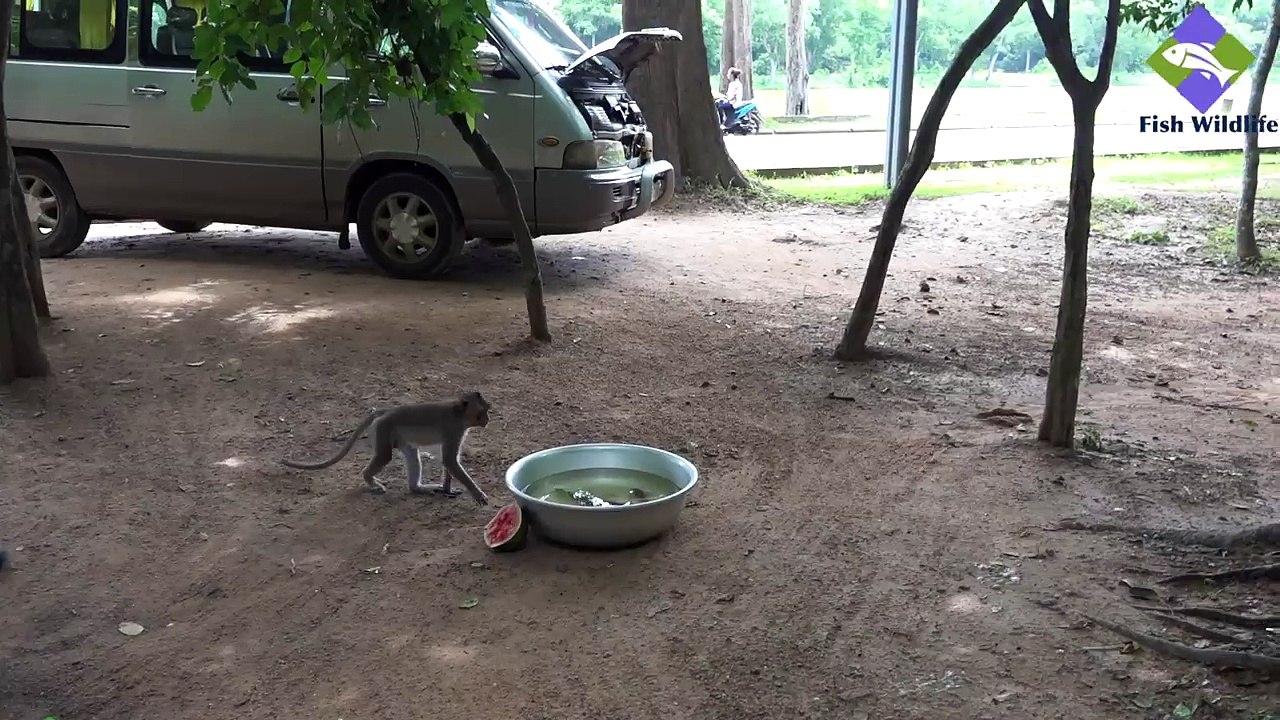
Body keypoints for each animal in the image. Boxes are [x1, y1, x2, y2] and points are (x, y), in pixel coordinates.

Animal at [280, 391, 492, 505]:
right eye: (483, 411)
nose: (488, 420)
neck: (459, 414)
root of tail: (386, 410)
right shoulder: (453, 429)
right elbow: (449, 460)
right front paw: (478, 494)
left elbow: (448, 461)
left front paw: (447, 489)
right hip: (383, 429)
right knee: (384, 456)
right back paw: (370, 480)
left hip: (396, 435)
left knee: (411, 453)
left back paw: (417, 488)